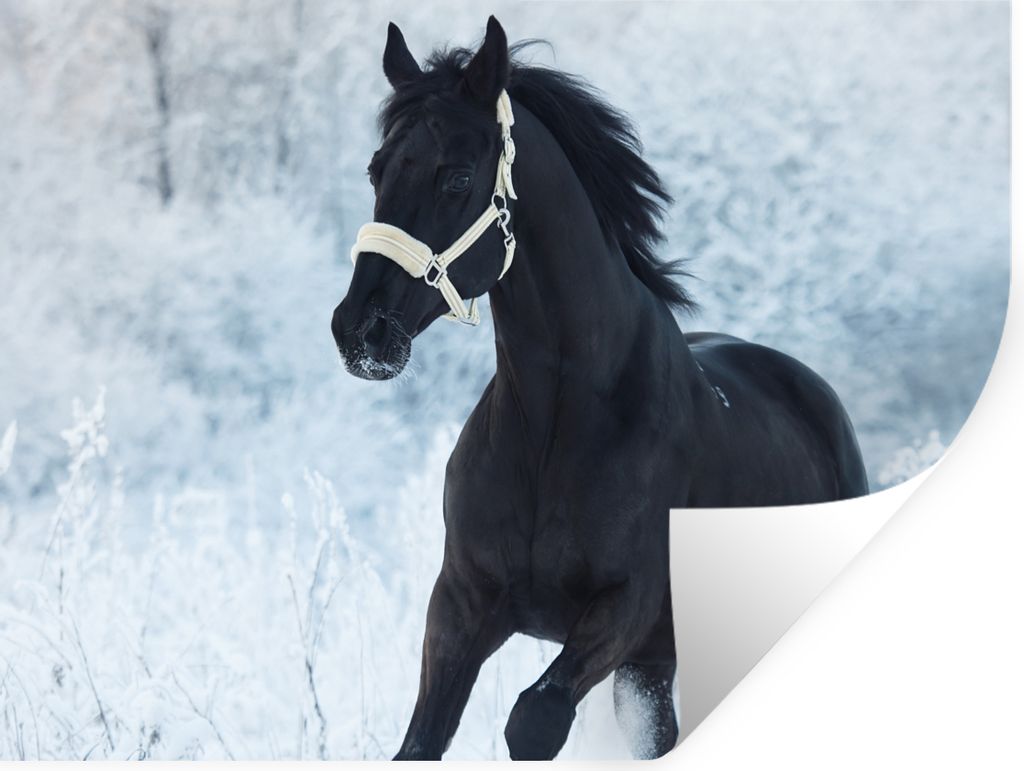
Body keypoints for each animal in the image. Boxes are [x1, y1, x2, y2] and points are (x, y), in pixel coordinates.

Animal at [331, 16, 869, 760]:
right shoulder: (463, 604)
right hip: (653, 663)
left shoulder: (625, 607)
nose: (360, 330)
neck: (557, 425)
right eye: (377, 168)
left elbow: (533, 721)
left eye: (457, 177)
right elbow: (420, 742)